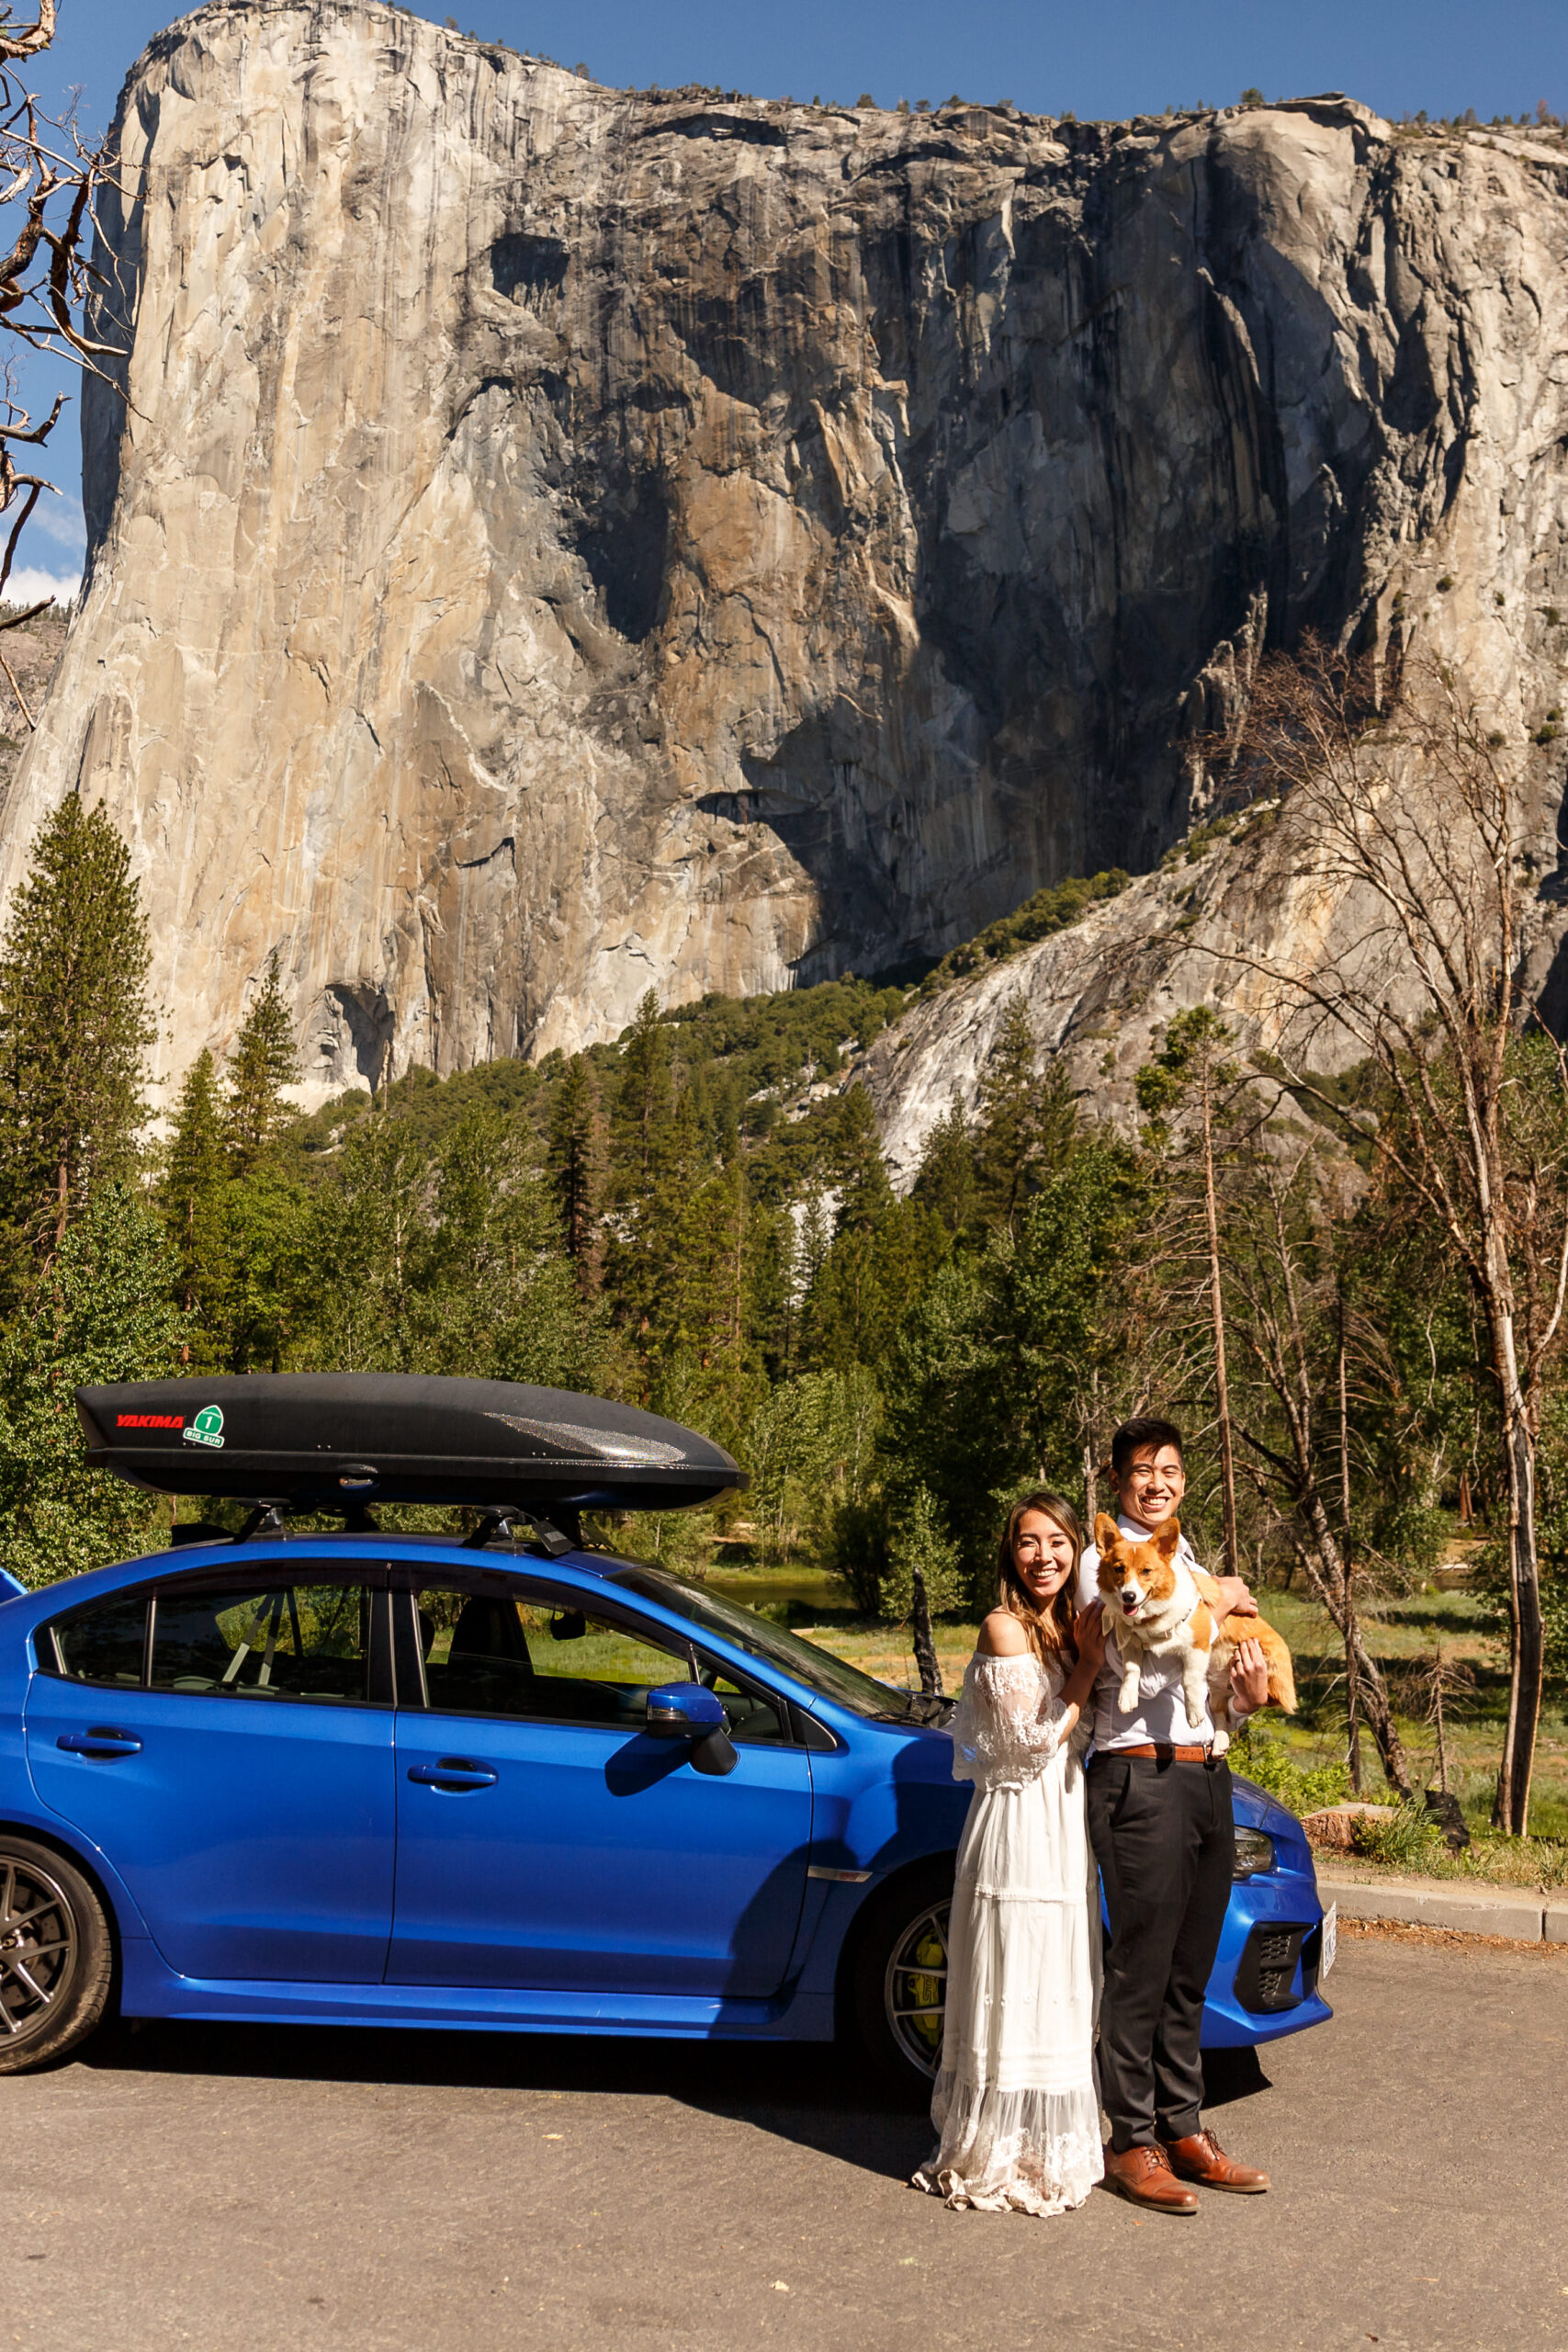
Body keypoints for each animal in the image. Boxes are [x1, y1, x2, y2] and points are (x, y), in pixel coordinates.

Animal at [1090, 1514, 1297, 1758]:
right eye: (1118, 1568)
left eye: (1146, 1571)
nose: (1128, 1596)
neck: (1150, 1619)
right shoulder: (1130, 1641)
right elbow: (1131, 1670)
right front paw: (1126, 1698)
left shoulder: (1197, 1645)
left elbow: (1189, 1680)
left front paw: (1194, 1714)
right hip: (1217, 1691)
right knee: (1222, 1713)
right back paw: (1220, 1743)